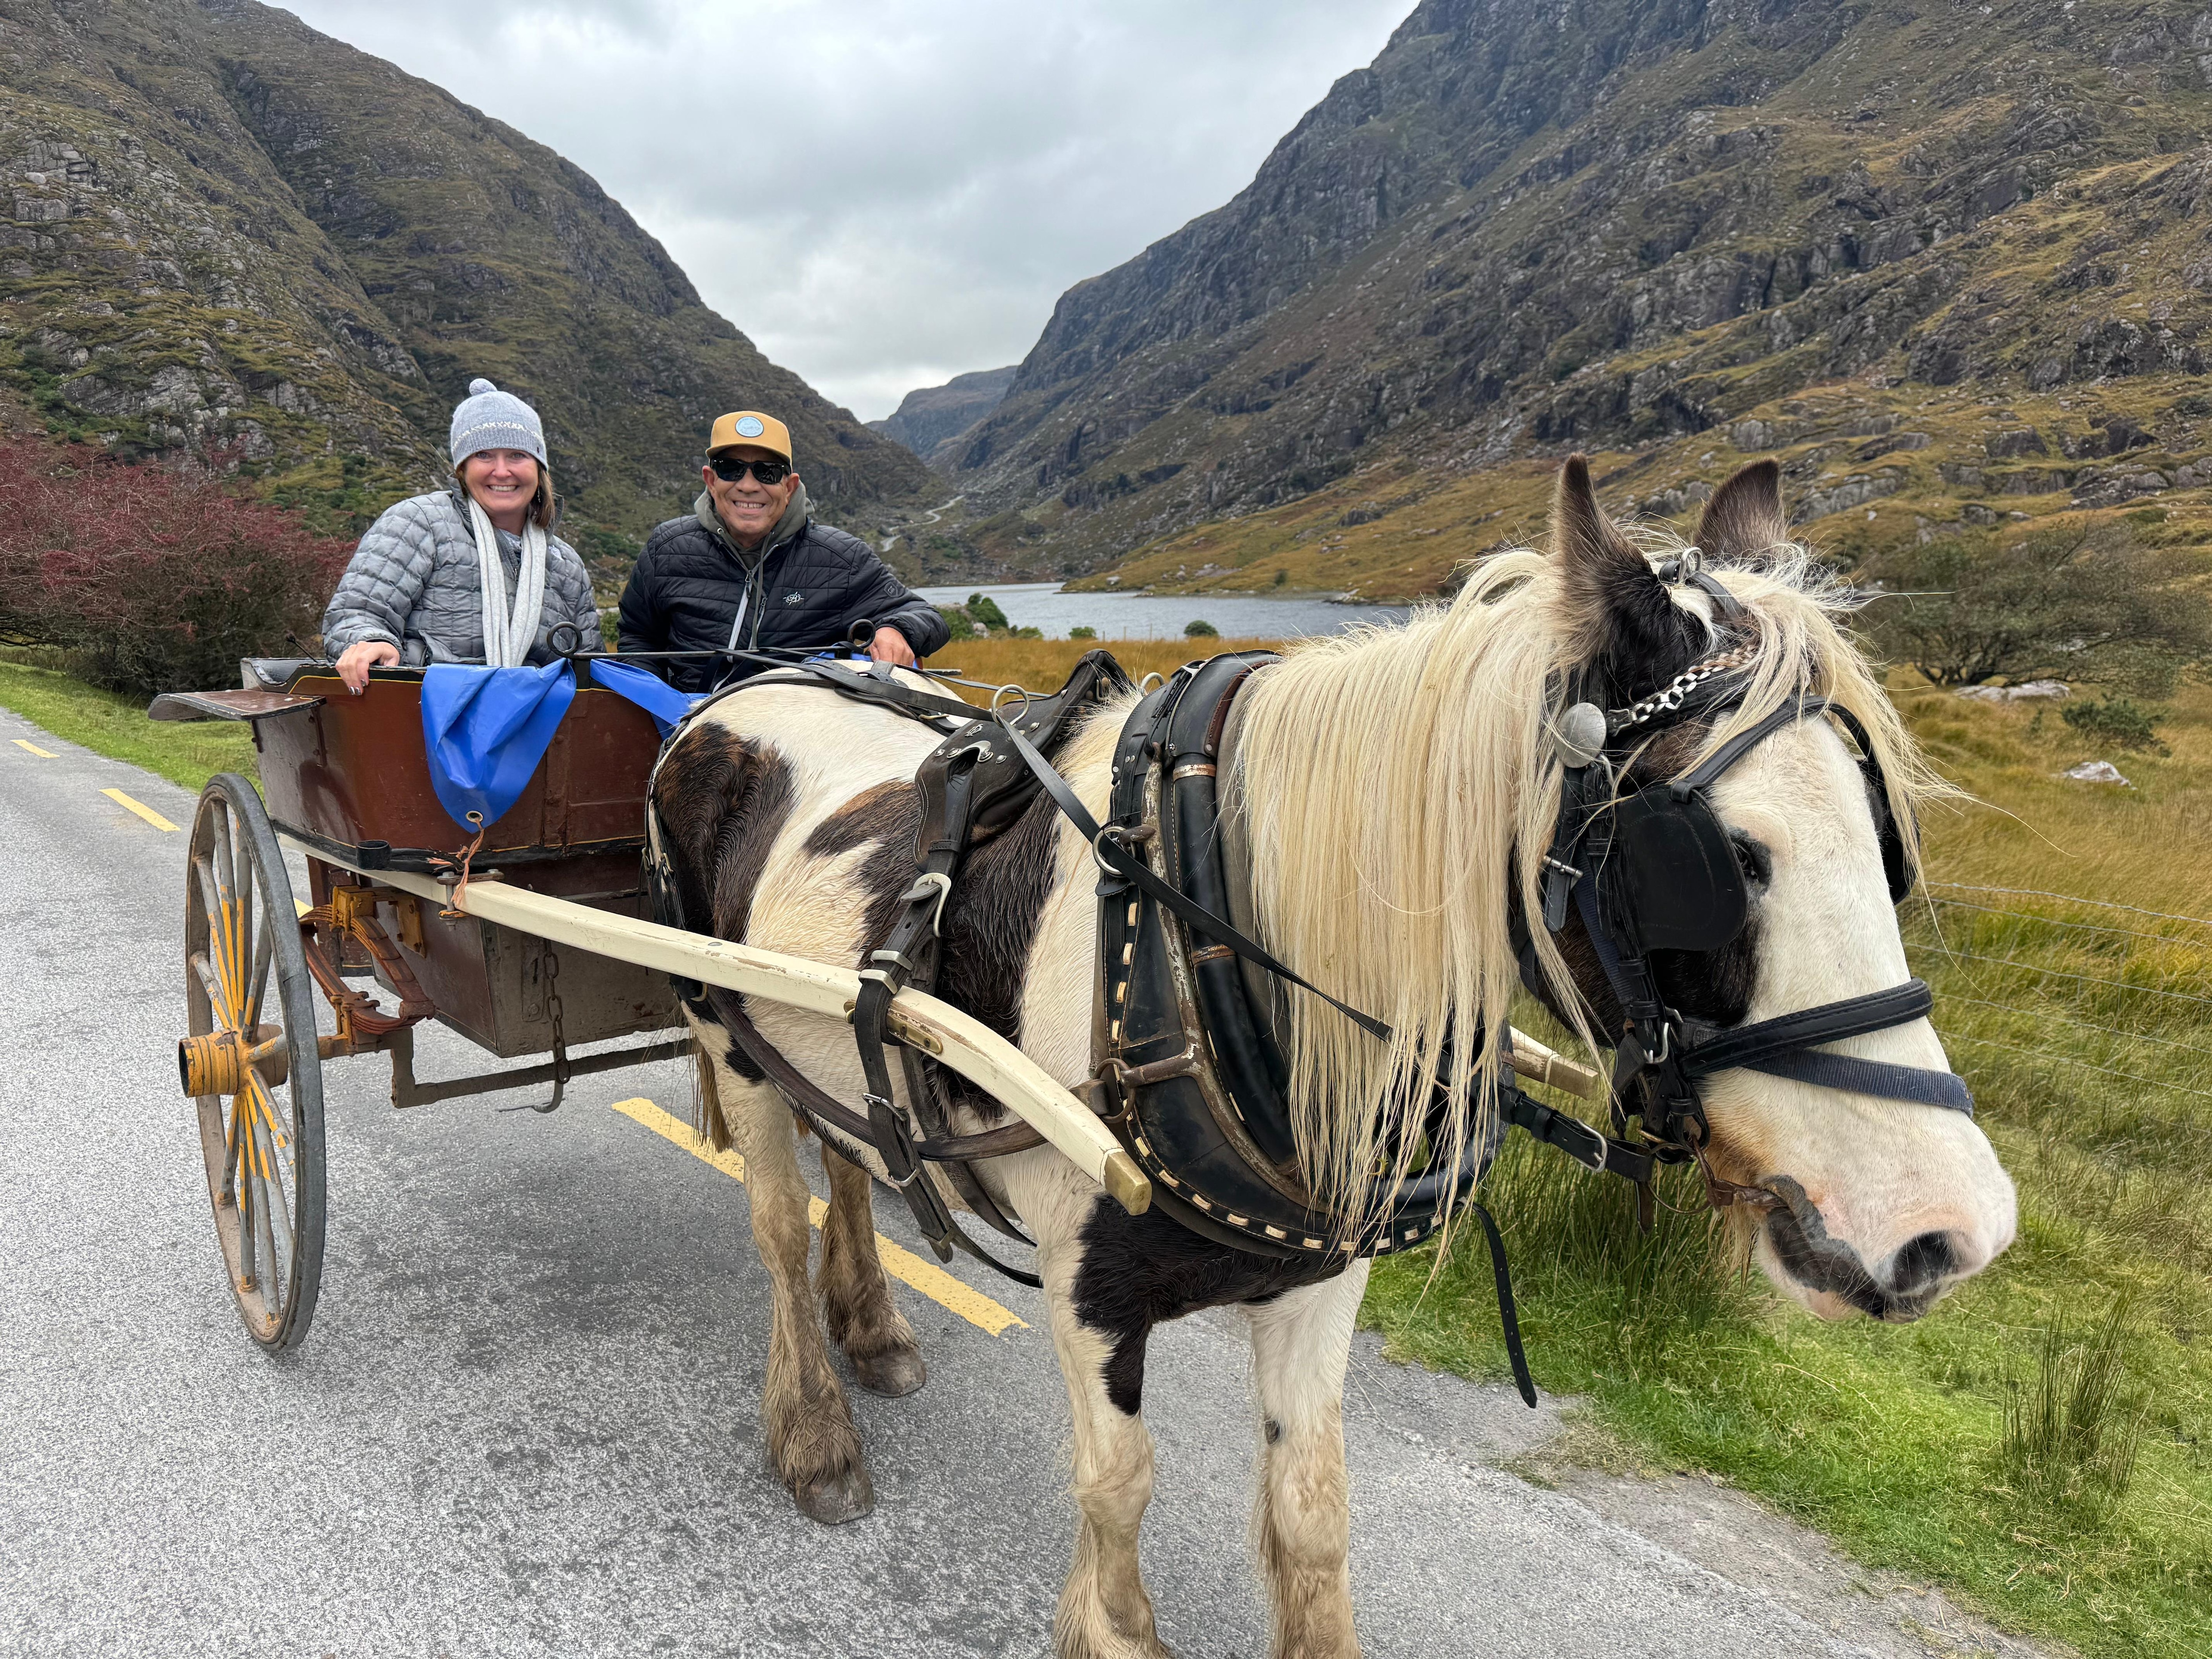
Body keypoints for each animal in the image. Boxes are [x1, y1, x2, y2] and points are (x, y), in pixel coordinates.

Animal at [648, 456, 2017, 1659]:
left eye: (1886, 835)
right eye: (1717, 858)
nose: (1947, 1227)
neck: (1190, 930)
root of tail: (731, 694)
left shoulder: (1318, 1277)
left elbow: (1311, 1509)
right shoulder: (1087, 1286)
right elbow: (1117, 1480)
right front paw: (1112, 1625)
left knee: (846, 1157)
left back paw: (874, 1327)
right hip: (731, 1032)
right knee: (774, 1223)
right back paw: (817, 1430)